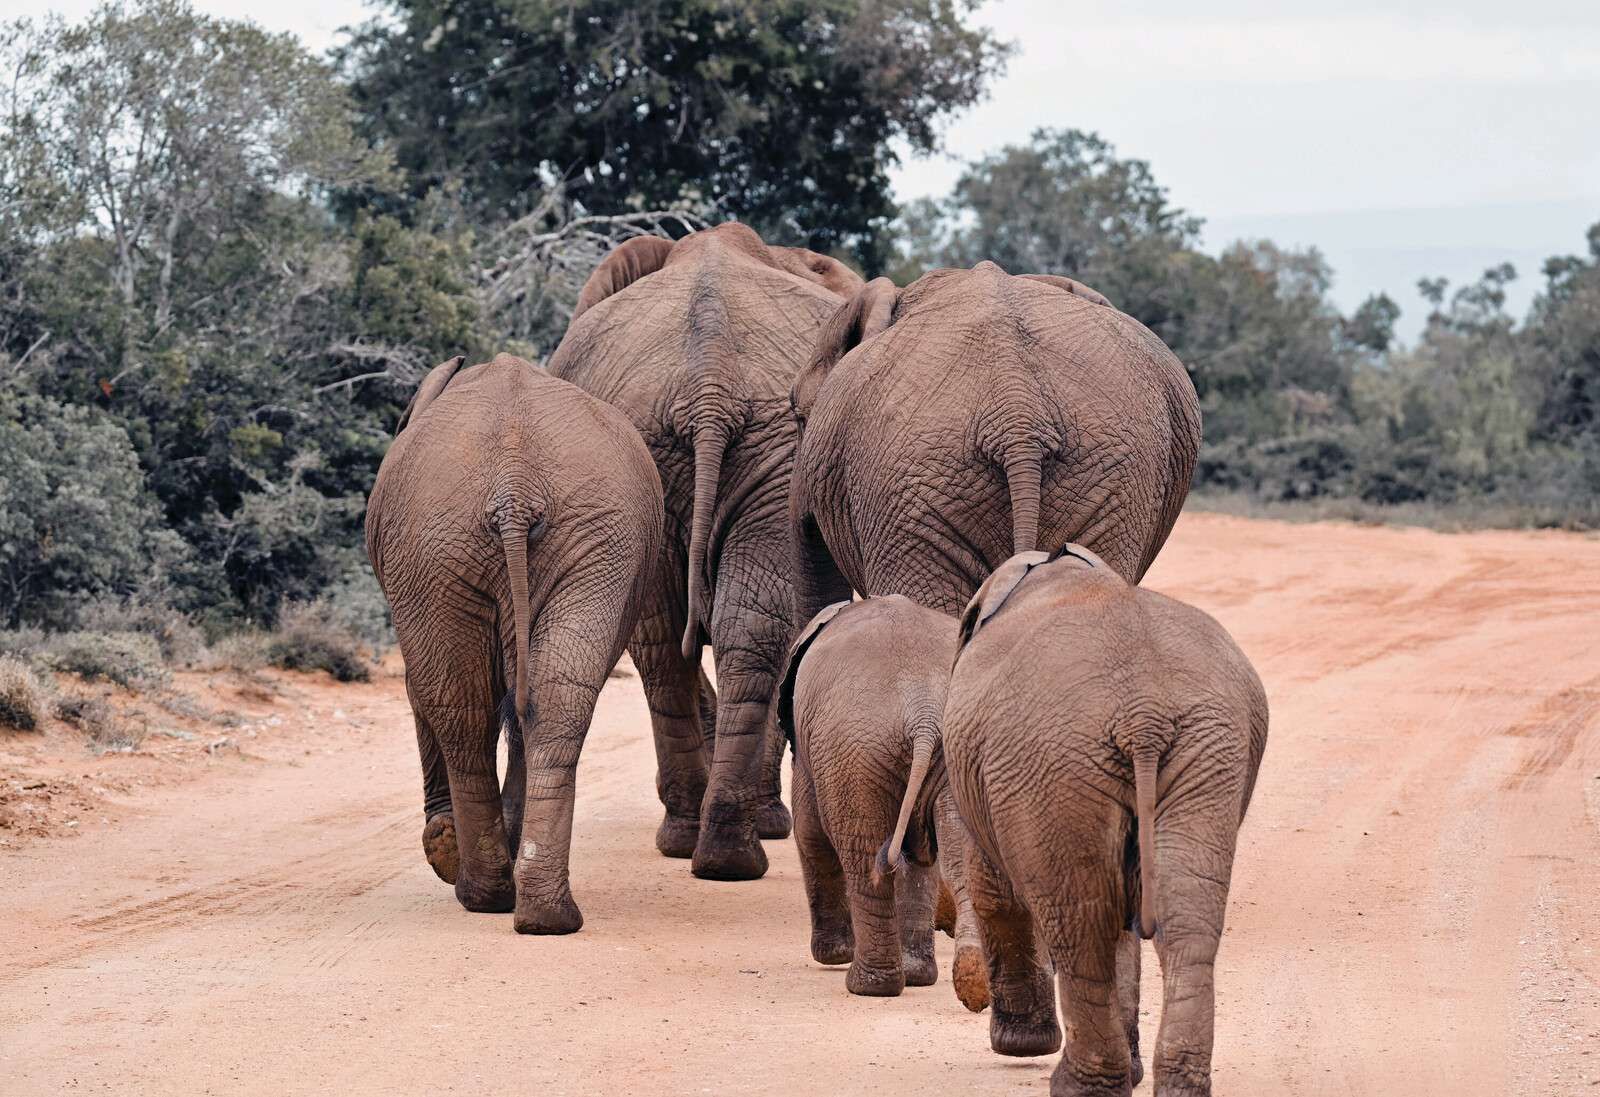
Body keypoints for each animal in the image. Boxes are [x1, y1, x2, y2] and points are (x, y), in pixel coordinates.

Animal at [365, 353, 663, 934]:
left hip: (440, 544)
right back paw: (544, 914)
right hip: (572, 541)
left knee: (459, 706)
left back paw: (478, 888)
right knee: (547, 700)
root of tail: (515, 489)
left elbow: (420, 690)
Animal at [548, 222, 863, 880]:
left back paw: (711, 847)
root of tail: (707, 387)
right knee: (690, 635)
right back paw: (718, 845)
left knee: (684, 634)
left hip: (740, 451)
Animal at [775, 595, 955, 997]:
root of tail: (923, 713)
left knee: (861, 853)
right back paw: (938, 980)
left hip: (852, 750)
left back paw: (867, 985)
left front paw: (834, 955)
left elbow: (809, 833)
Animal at [942, 545, 1269, 1097]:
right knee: (1184, 916)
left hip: (1050, 760)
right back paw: (1173, 1084)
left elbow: (994, 888)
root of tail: (1144, 715)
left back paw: (1081, 1086)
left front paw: (1020, 1045)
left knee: (1081, 923)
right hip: (1207, 750)